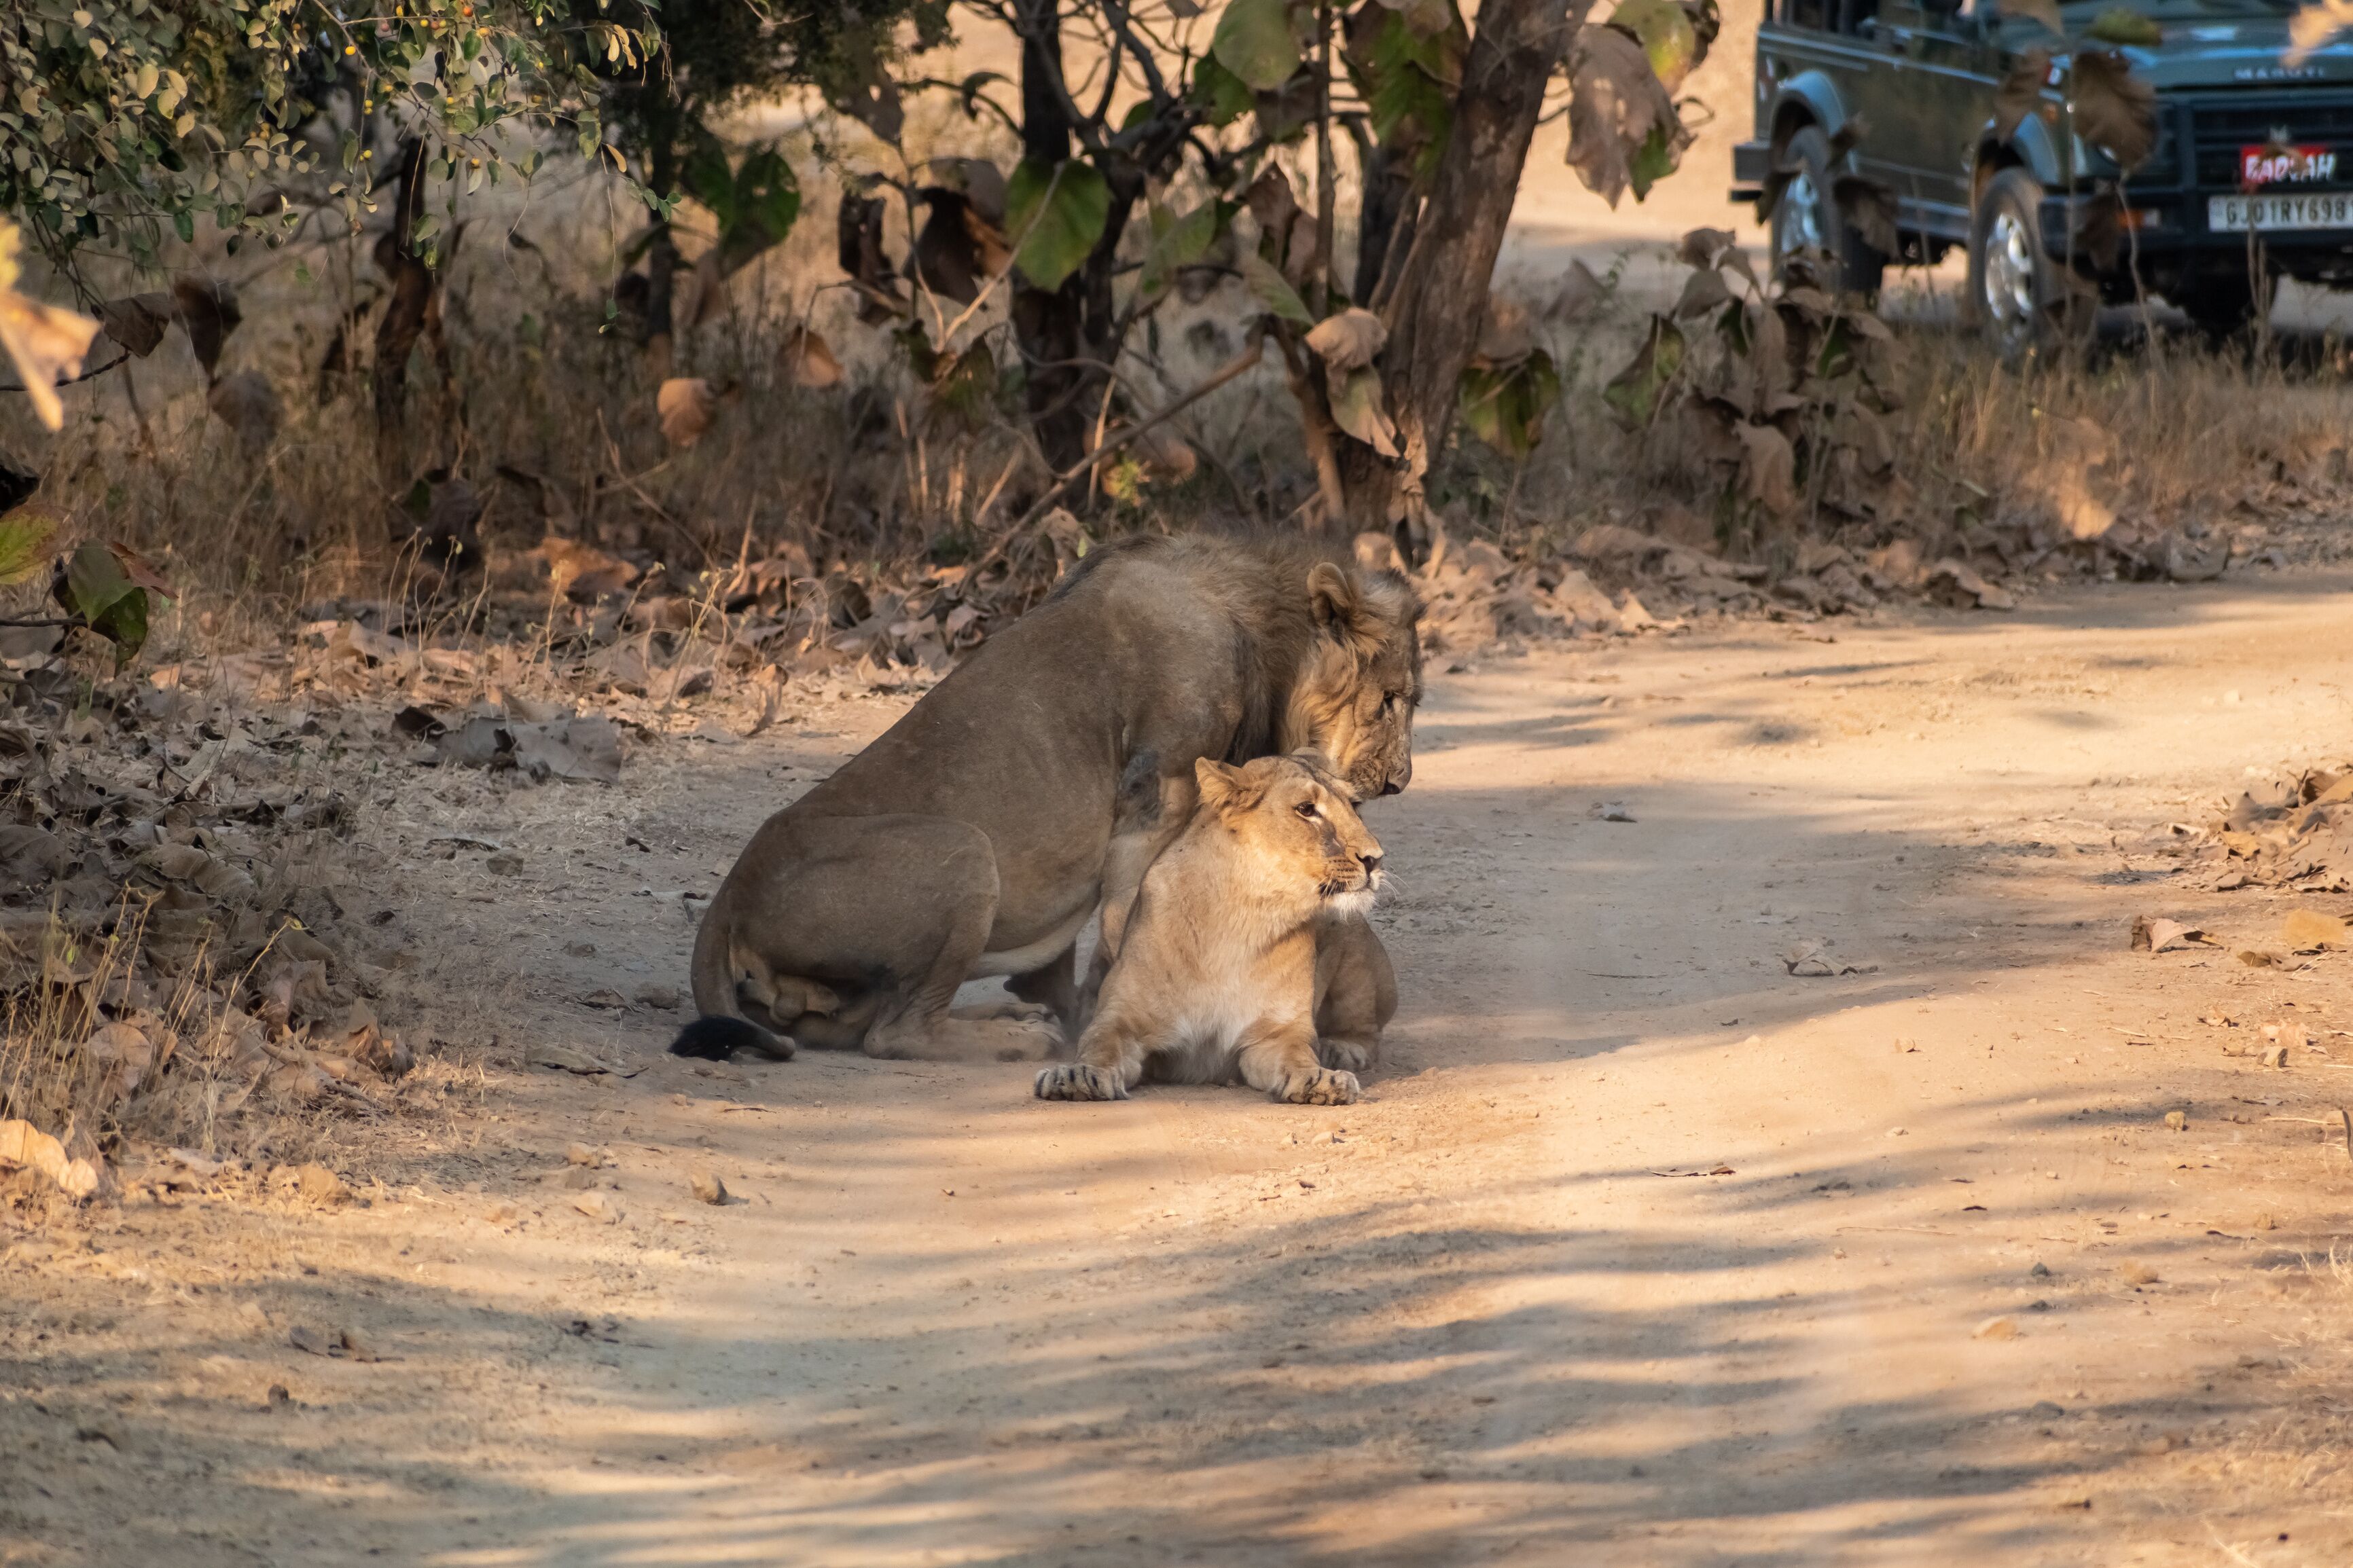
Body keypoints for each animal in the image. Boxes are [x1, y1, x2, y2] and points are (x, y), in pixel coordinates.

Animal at [669, 534, 1420, 1064]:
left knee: (862, 1023)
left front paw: (1060, 1005)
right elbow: (1122, 922)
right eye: (1390, 699)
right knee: (895, 1032)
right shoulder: (1160, 783)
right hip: (964, 849)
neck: (1263, 626)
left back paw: (1012, 1017)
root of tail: (728, 897)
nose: (1398, 781)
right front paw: (1095, 1018)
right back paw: (1016, 1039)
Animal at [1035, 754, 1386, 1104]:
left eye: (1355, 804)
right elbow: (1099, 1045)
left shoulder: (1276, 1032)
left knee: (1365, 1027)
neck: (1243, 915)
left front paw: (1320, 1080)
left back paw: (1339, 1050)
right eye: (1306, 809)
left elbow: (1299, 1054)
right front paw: (1078, 1077)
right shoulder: (1120, 1019)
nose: (1375, 859)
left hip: (1355, 945)